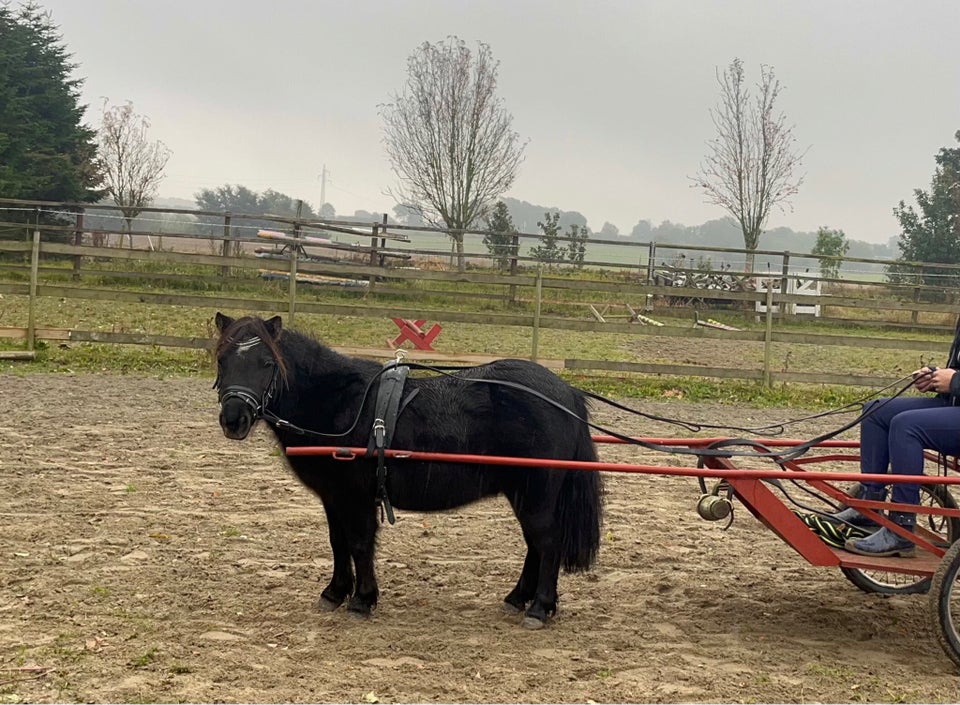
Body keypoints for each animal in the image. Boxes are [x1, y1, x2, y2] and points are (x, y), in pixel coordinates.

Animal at [214, 312, 604, 628]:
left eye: (267, 362)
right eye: (221, 359)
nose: (233, 419)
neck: (339, 402)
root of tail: (565, 393)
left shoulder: (355, 496)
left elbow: (359, 542)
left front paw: (362, 599)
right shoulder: (333, 496)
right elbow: (338, 542)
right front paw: (335, 592)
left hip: (536, 494)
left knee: (547, 542)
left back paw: (539, 608)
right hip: (523, 494)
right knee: (535, 544)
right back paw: (518, 598)